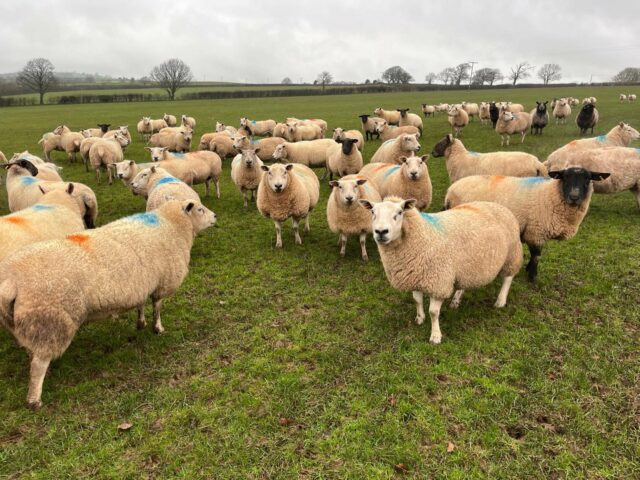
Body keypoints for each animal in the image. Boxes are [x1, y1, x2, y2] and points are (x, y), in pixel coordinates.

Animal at [0, 198, 216, 408]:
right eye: (199, 209)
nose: (215, 216)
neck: (171, 225)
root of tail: (11, 281)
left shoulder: (141, 283)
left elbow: (141, 304)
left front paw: (141, 323)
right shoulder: (163, 282)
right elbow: (157, 307)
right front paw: (158, 328)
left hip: (24, 324)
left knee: (34, 354)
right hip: (50, 320)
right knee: (39, 365)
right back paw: (34, 400)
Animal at [359, 197, 522, 344]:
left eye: (399, 212)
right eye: (372, 212)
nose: (381, 231)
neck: (423, 235)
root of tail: (499, 205)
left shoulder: (438, 281)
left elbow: (433, 312)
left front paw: (435, 336)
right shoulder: (416, 275)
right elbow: (417, 300)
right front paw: (419, 318)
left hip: (511, 253)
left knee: (508, 278)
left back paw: (500, 301)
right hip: (467, 266)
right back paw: (456, 300)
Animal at [444, 168, 610, 282]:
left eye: (588, 179)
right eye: (565, 177)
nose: (574, 197)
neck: (551, 194)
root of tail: (450, 191)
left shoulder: (535, 233)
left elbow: (534, 255)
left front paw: (528, 269)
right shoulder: (536, 232)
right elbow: (537, 256)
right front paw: (533, 277)